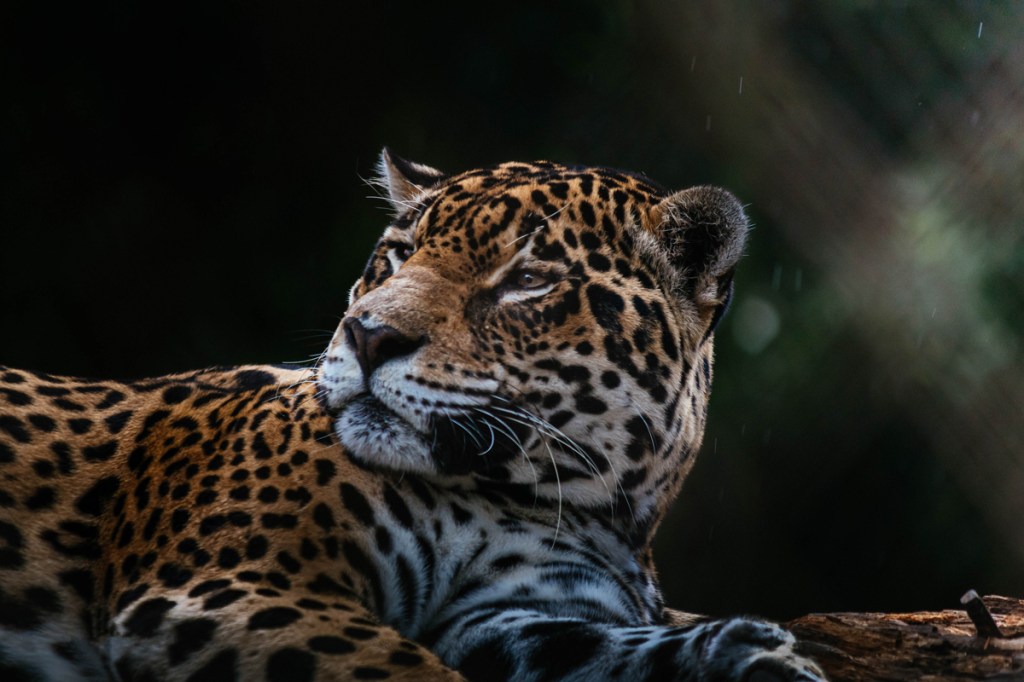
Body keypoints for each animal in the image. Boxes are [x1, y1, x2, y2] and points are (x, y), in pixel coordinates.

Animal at [0, 149, 825, 681]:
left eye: (527, 281)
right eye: (397, 255)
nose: (367, 334)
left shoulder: (507, 618)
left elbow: (621, 647)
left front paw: (756, 653)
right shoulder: (225, 583)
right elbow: (407, 672)